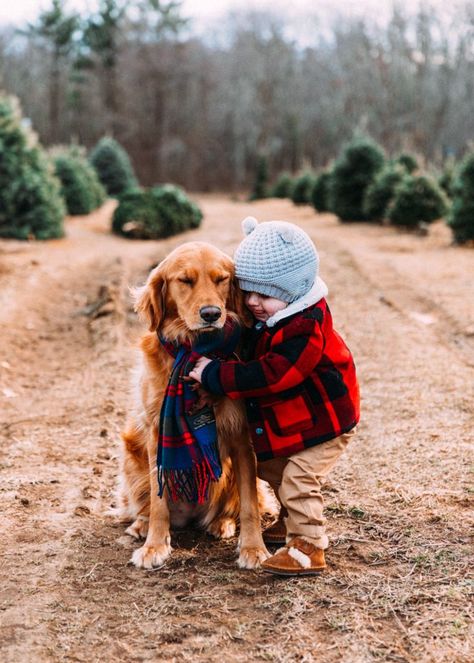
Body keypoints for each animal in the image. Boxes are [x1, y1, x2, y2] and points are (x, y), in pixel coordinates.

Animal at [116, 243, 272, 572]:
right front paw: (154, 545)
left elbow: (250, 503)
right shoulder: (157, 433)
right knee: (147, 503)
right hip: (132, 454)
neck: (194, 348)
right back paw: (141, 524)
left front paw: (253, 548)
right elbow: (159, 501)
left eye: (221, 279)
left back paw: (222, 523)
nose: (211, 313)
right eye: (185, 280)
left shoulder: (241, 434)